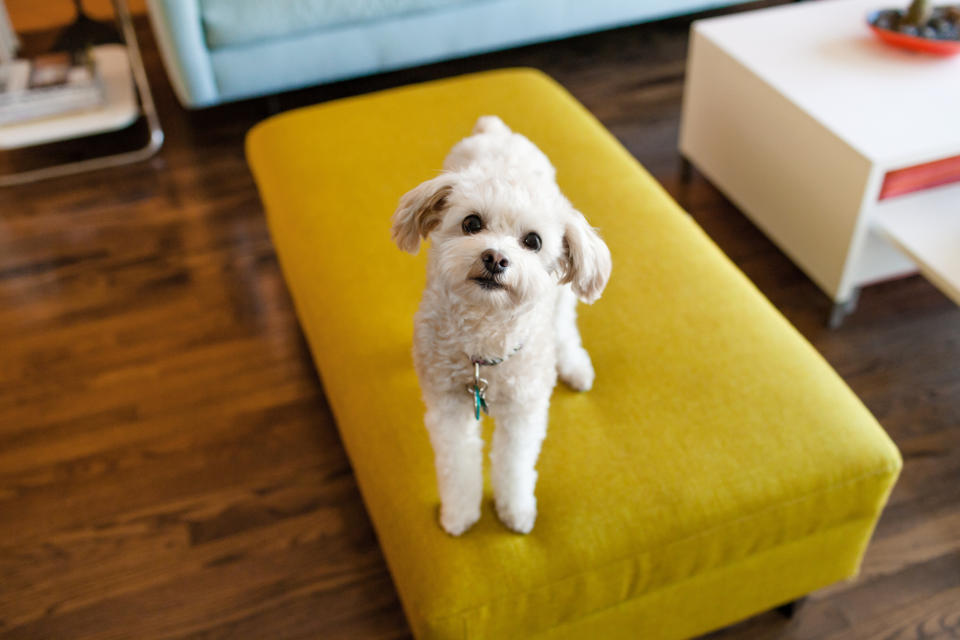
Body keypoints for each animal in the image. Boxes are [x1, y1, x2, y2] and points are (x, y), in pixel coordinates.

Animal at [392, 115, 612, 536]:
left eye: (533, 241)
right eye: (471, 223)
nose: (495, 258)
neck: (485, 340)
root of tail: (496, 130)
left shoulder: (524, 412)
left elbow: (515, 466)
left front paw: (516, 511)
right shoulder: (448, 408)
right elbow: (457, 465)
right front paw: (459, 514)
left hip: (562, 298)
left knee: (564, 325)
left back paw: (574, 365)